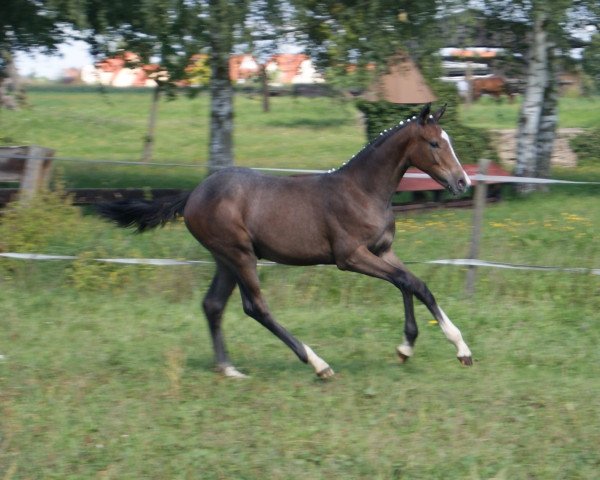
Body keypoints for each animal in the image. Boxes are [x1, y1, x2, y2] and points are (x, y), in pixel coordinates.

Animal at [98, 104, 474, 378]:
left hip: (225, 259)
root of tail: (194, 195)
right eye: (435, 143)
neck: (363, 190)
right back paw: (318, 364)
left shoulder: (383, 250)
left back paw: (229, 369)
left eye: (450, 141)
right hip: (240, 255)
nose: (462, 182)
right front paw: (433, 346)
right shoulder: (350, 257)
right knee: (255, 307)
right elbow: (405, 282)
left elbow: (414, 284)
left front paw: (428, 348)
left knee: (213, 304)